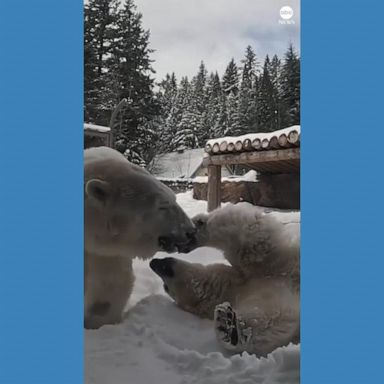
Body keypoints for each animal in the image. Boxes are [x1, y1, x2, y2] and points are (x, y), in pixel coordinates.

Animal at [84, 148, 195, 330]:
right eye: (163, 206)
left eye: (174, 198)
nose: (190, 231)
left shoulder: (106, 253)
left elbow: (107, 288)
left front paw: (97, 322)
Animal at [150, 204, 300, 356]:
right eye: (165, 287)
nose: (154, 262)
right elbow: (271, 324)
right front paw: (229, 327)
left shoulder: (270, 266)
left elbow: (251, 238)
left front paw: (195, 230)